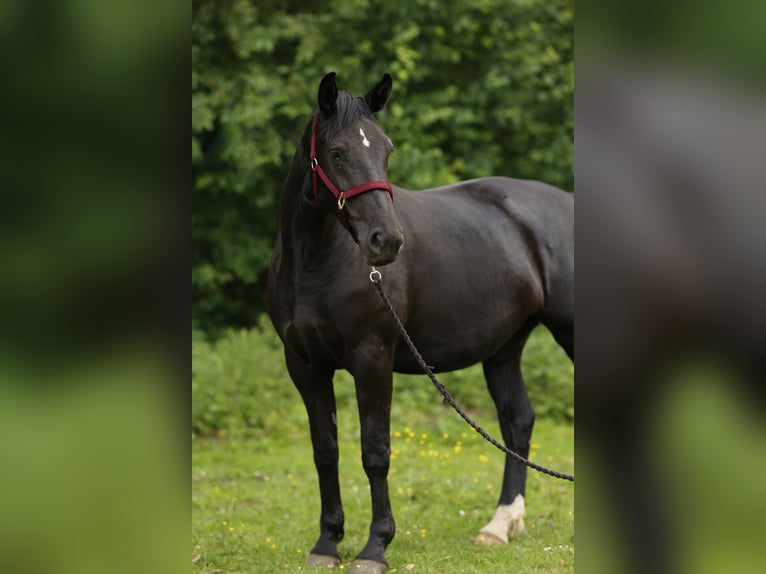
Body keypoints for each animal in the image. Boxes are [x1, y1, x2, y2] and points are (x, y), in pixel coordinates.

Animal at [267, 72, 574, 573]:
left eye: (386, 150)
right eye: (337, 152)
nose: (386, 242)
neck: (316, 263)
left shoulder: (372, 360)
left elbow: (375, 452)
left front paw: (375, 547)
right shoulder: (304, 365)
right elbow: (325, 450)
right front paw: (327, 543)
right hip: (503, 349)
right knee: (518, 422)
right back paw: (499, 526)